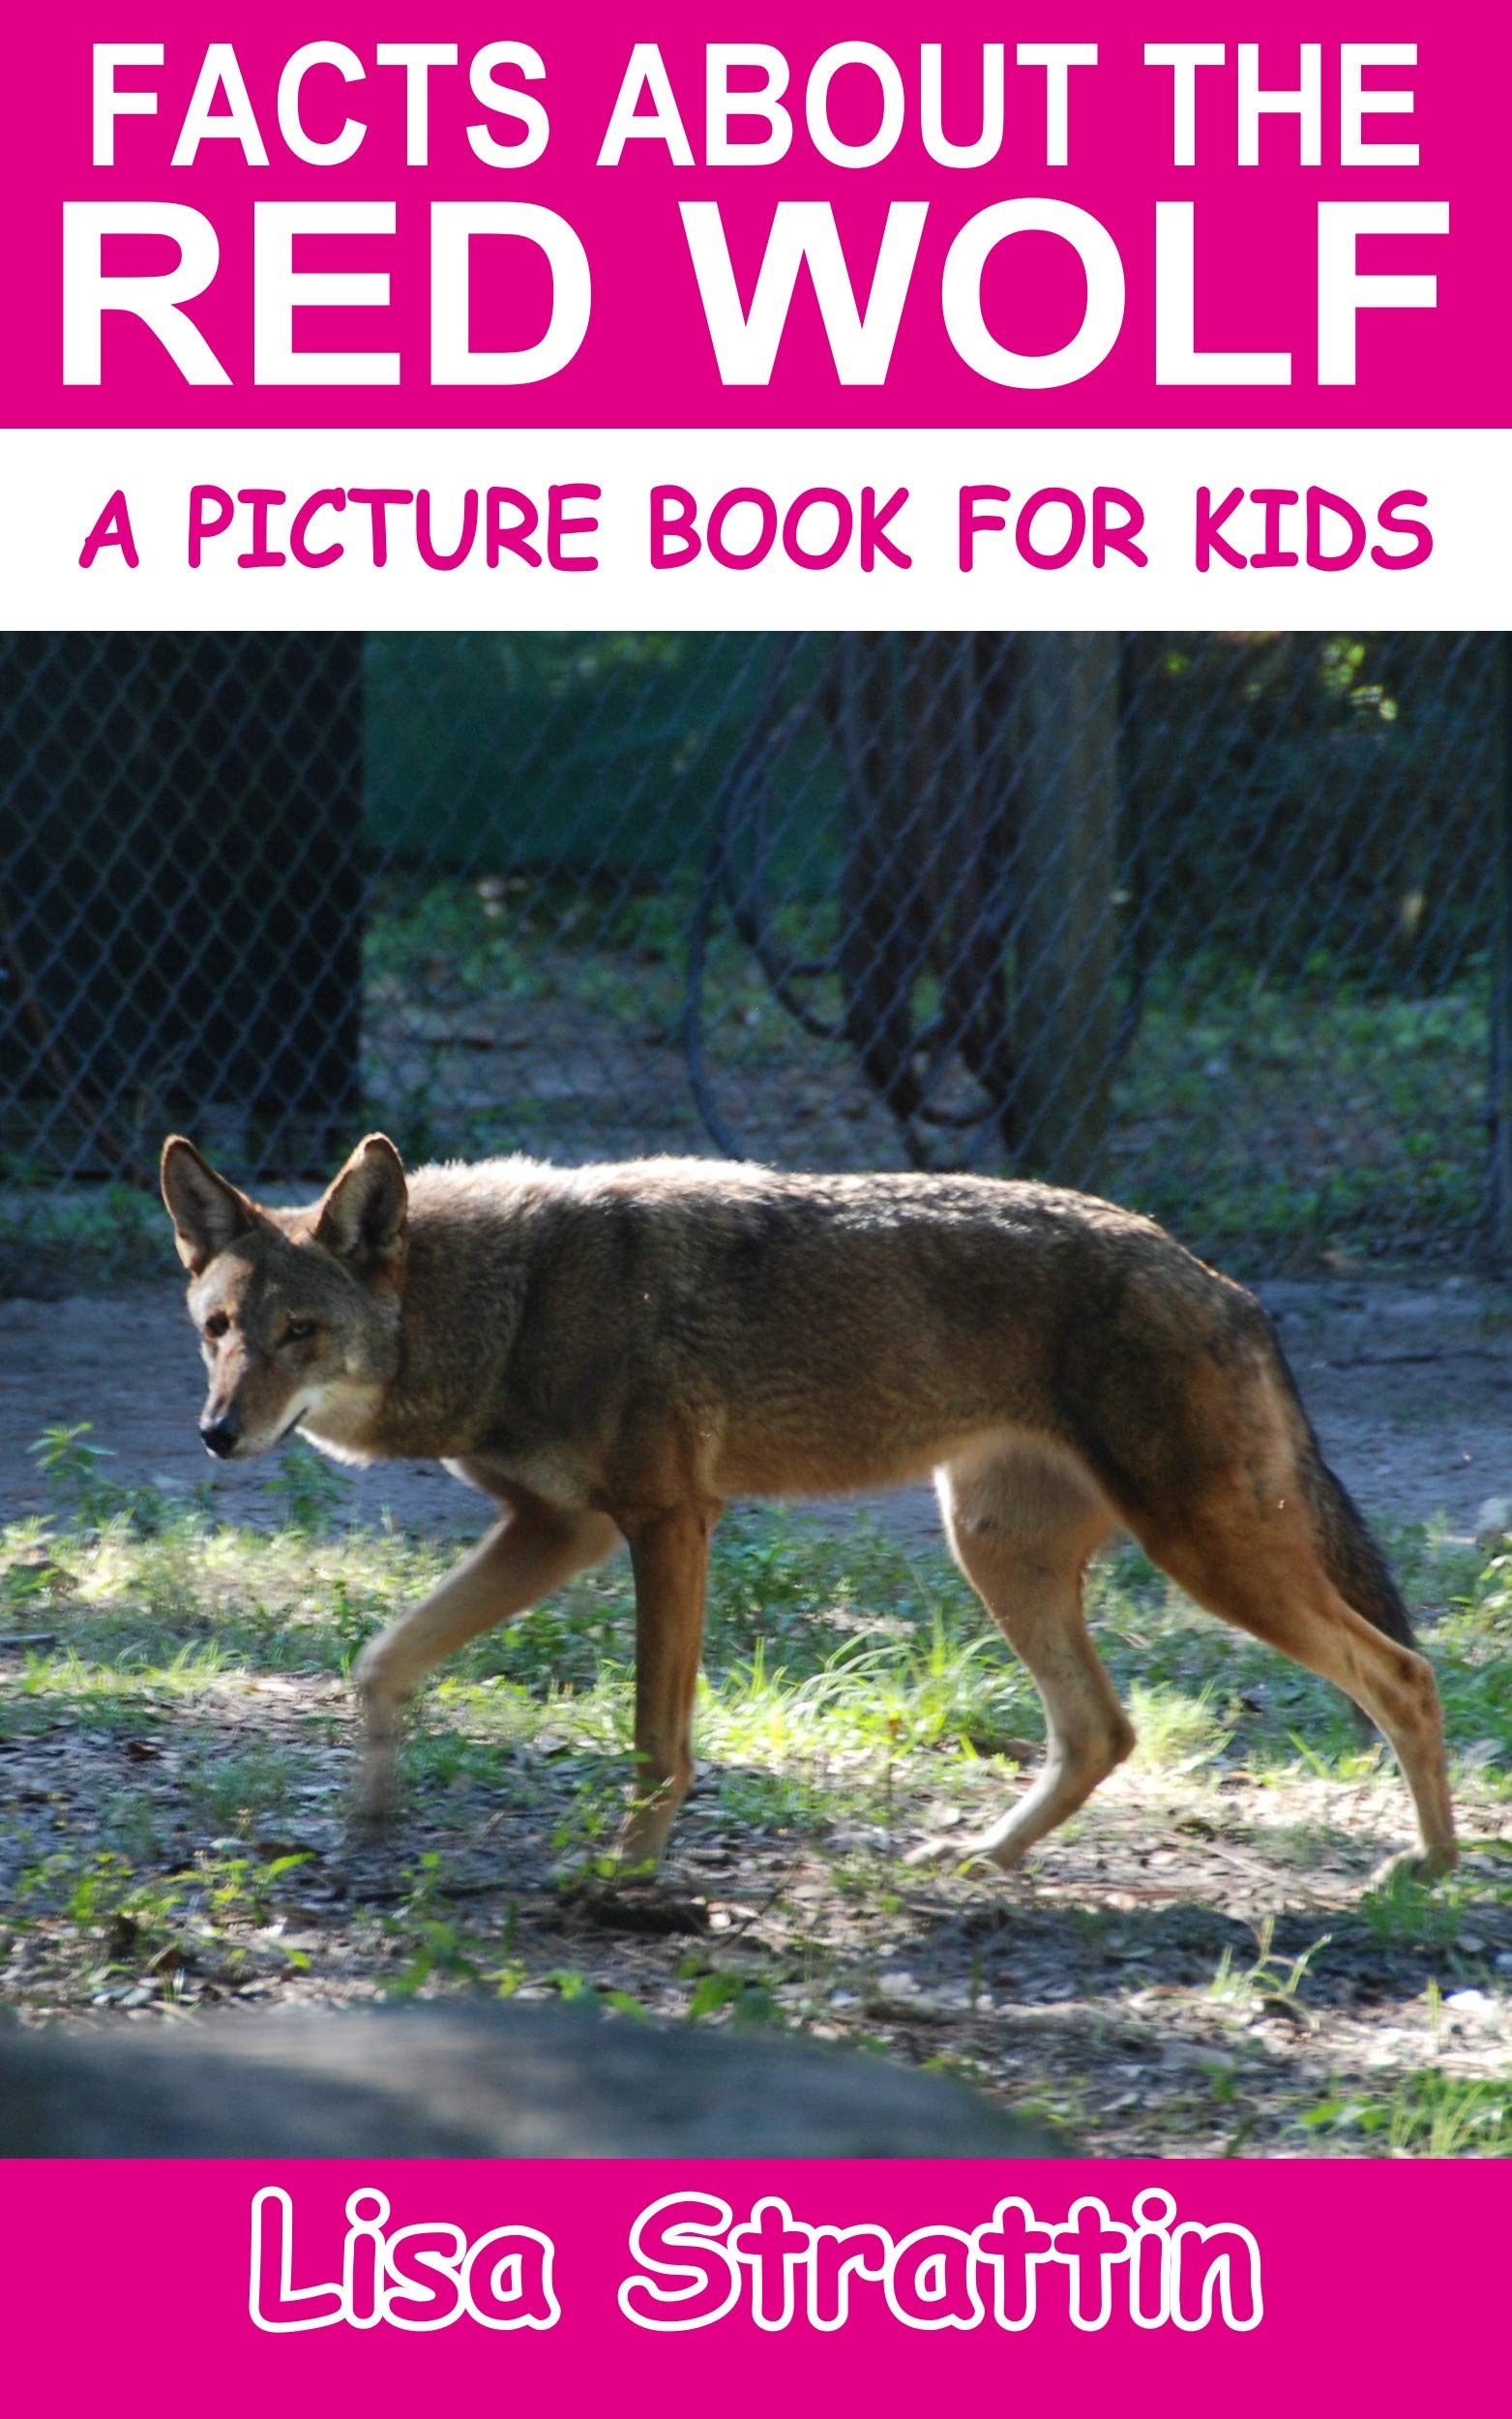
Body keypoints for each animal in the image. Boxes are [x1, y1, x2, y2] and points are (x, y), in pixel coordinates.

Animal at [160, 1132, 1455, 1885]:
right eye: (219, 1329)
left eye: (301, 1332)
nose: (217, 1431)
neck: (511, 1301)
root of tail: (1223, 1280)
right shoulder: (560, 1531)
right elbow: (381, 1662)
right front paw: (371, 1819)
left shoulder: (664, 1523)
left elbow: (656, 1742)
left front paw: (623, 1879)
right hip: (1000, 1554)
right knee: (1104, 1731)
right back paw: (979, 1858)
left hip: (1205, 1554)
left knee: (1404, 1673)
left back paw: (1431, 1872)